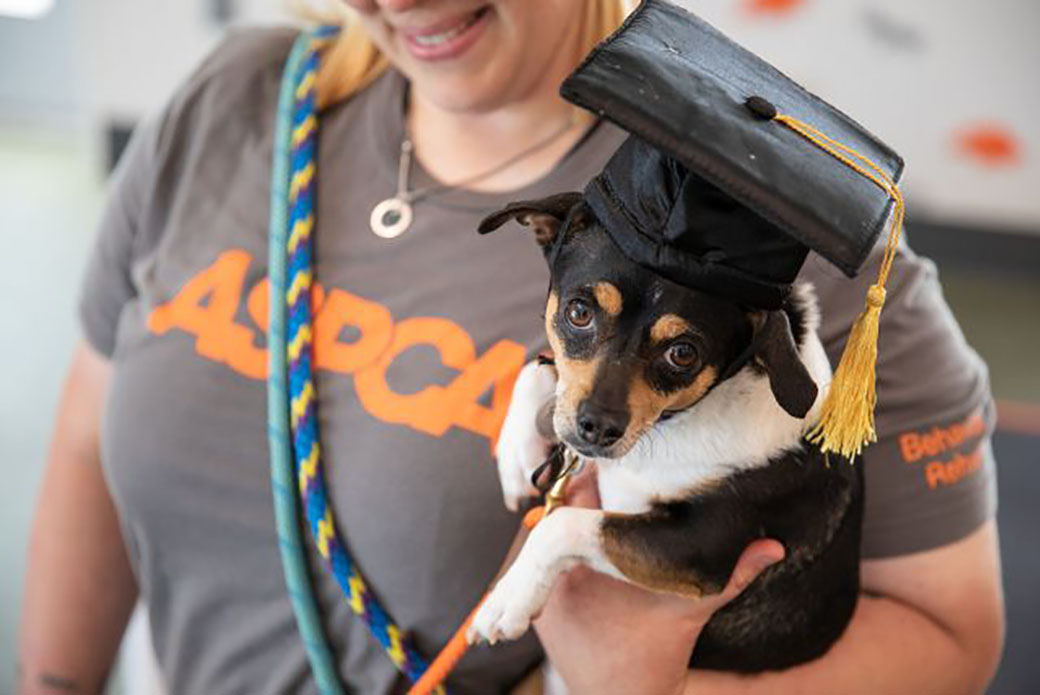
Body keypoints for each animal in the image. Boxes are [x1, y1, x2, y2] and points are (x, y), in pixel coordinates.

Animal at [470, 191, 861, 674]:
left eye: (683, 353)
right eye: (578, 312)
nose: (597, 427)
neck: (669, 427)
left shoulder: (701, 544)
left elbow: (562, 524)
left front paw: (508, 598)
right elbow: (539, 371)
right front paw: (516, 455)